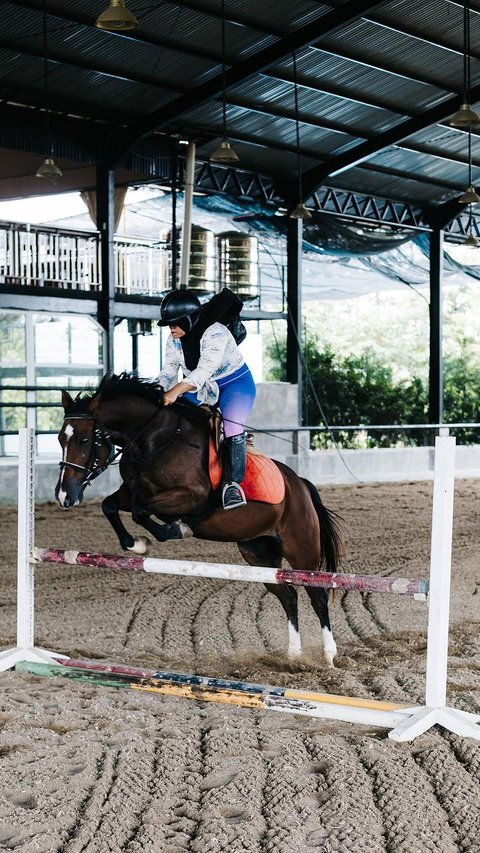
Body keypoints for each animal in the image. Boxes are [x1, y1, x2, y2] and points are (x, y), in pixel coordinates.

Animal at [55, 372, 342, 664]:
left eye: (83, 440)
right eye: (59, 439)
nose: (64, 495)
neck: (155, 440)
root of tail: (300, 484)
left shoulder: (191, 496)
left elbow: (141, 512)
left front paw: (173, 531)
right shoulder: (130, 492)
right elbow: (110, 506)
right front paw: (135, 544)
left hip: (301, 549)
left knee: (317, 595)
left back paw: (329, 655)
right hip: (258, 551)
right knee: (288, 595)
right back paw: (294, 655)